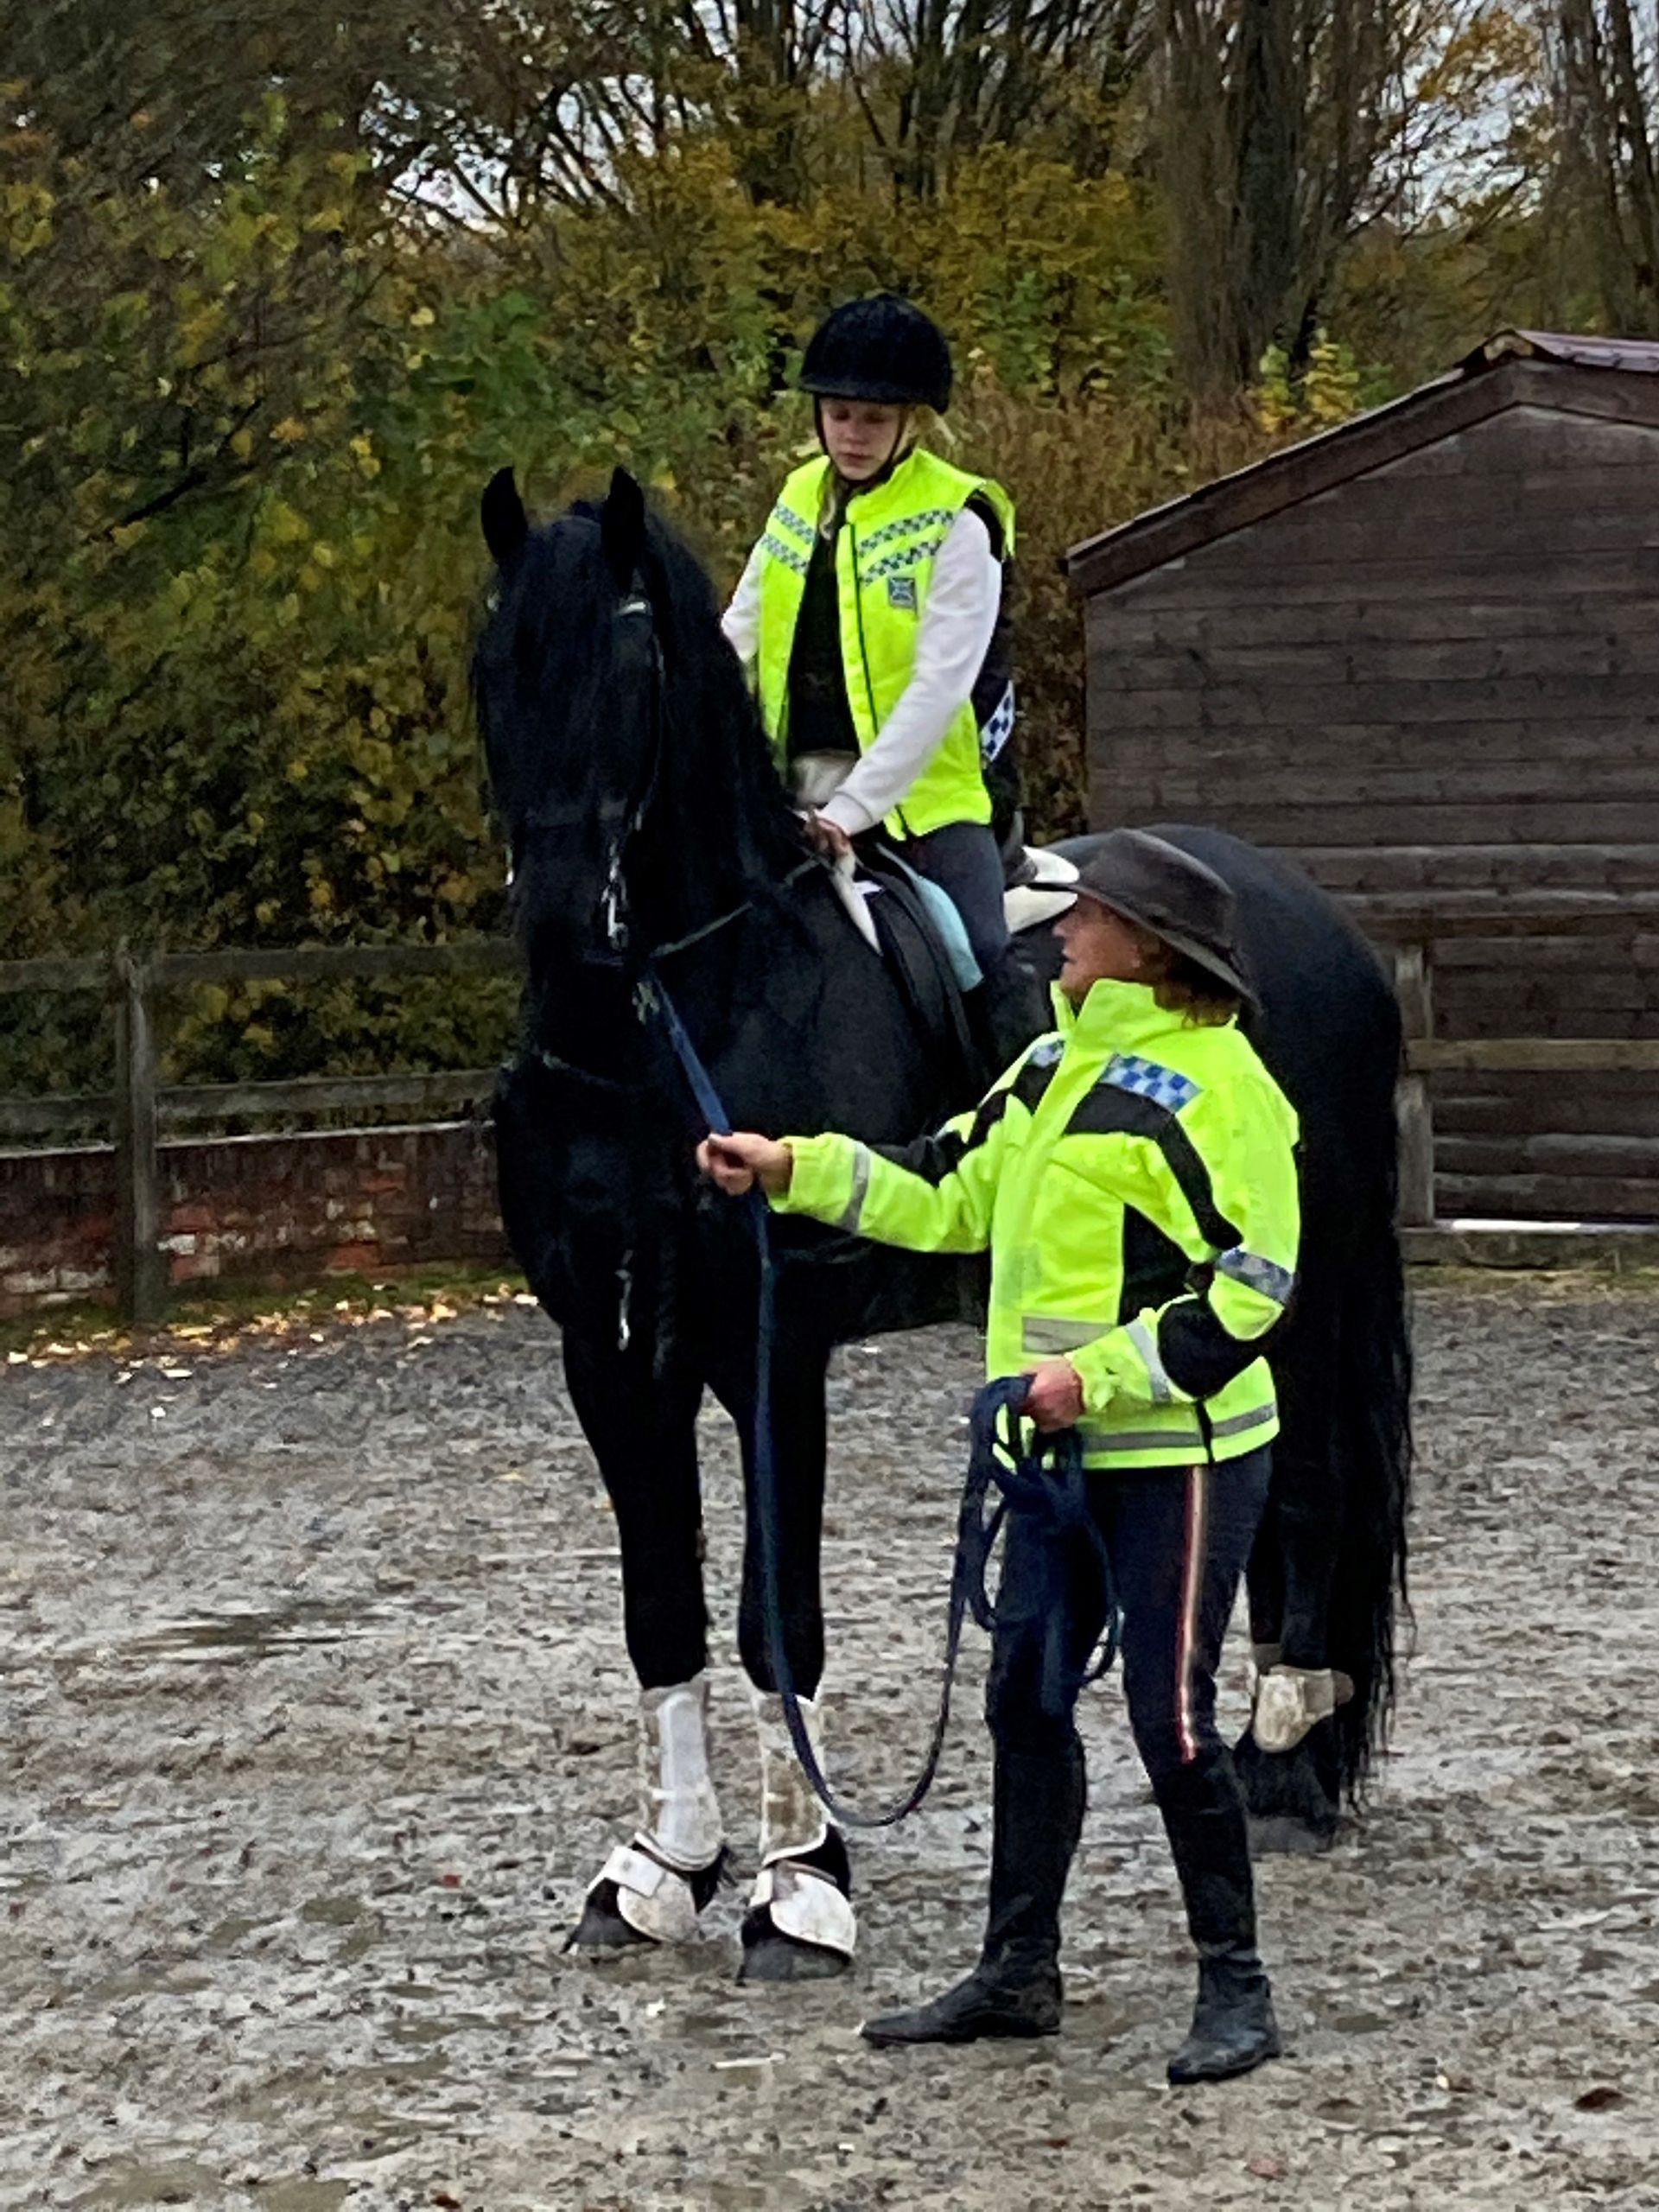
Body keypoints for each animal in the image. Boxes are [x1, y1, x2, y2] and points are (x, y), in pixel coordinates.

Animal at [472, 464, 1411, 1984]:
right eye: (493, 668)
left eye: (632, 672)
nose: (565, 935)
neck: (673, 1022)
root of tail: (1319, 921)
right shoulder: (608, 1356)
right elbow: (660, 1612)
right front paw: (661, 1869)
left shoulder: (773, 1352)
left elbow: (776, 1617)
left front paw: (800, 1889)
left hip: (1305, 1278)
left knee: (1320, 1477)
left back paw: (1289, 1750)